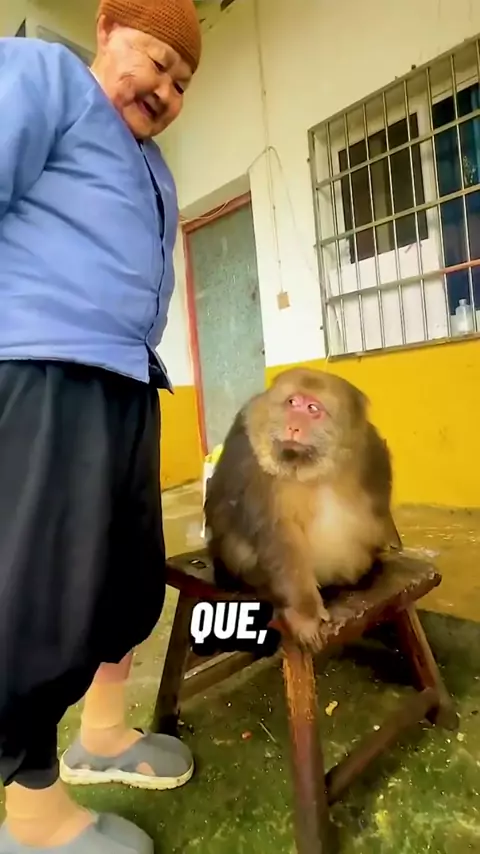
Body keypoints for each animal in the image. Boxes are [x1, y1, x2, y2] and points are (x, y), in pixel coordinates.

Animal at [204, 367, 402, 652]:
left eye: (312, 408)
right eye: (292, 403)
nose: (293, 427)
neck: (309, 469)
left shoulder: (369, 450)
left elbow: (378, 505)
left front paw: (391, 537)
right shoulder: (250, 459)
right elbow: (277, 533)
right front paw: (304, 613)